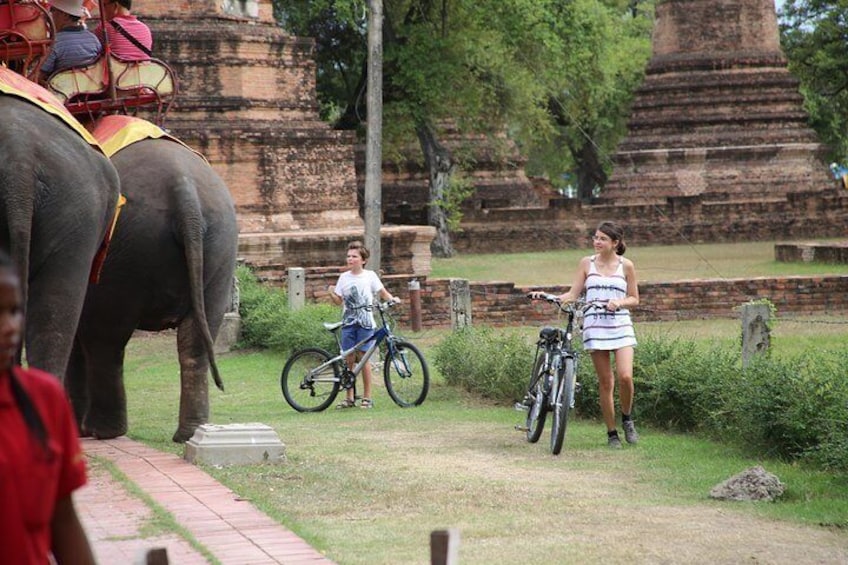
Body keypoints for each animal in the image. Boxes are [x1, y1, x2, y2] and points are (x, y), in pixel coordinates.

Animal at [65, 125, 238, 442]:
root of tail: (184, 191)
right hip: (221, 247)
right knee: (196, 340)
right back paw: (188, 433)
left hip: (121, 255)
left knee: (105, 339)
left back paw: (101, 431)